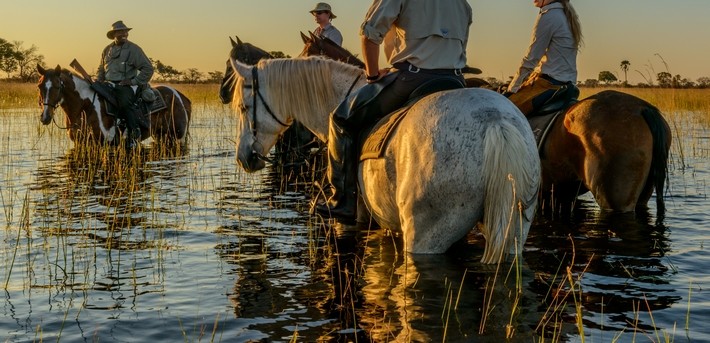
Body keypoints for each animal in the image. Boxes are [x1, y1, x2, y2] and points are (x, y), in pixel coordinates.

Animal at [36, 65, 192, 146]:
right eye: (39, 86)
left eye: (57, 86)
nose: (45, 117)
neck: (85, 107)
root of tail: (181, 97)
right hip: (161, 136)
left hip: (178, 137)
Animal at [231, 57, 544, 266]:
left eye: (244, 107)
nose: (244, 157)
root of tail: (496, 121)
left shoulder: (358, 217)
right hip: (514, 229)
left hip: (427, 236)